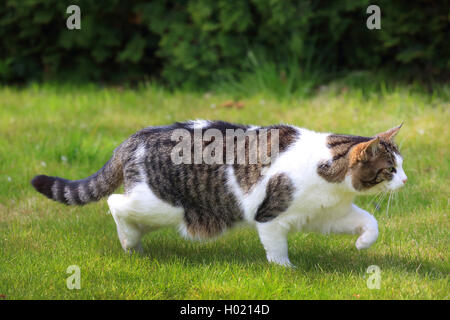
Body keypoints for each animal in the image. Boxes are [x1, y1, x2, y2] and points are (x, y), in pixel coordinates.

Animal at [29, 120, 406, 268]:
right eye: (390, 169)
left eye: (401, 164)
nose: (404, 181)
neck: (330, 174)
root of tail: (134, 138)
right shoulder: (270, 215)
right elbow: (277, 249)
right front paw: (286, 270)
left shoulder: (329, 214)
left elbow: (370, 222)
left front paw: (362, 244)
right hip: (162, 206)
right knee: (115, 203)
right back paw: (128, 242)